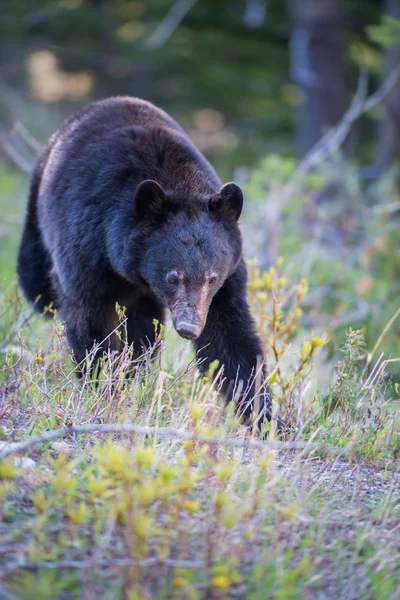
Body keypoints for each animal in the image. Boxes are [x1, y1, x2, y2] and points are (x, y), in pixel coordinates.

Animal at [17, 98, 270, 424]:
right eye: (173, 276)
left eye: (212, 278)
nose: (189, 327)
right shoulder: (86, 247)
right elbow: (90, 319)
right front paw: (103, 386)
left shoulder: (228, 279)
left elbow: (229, 338)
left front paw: (264, 416)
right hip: (38, 216)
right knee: (36, 282)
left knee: (143, 330)